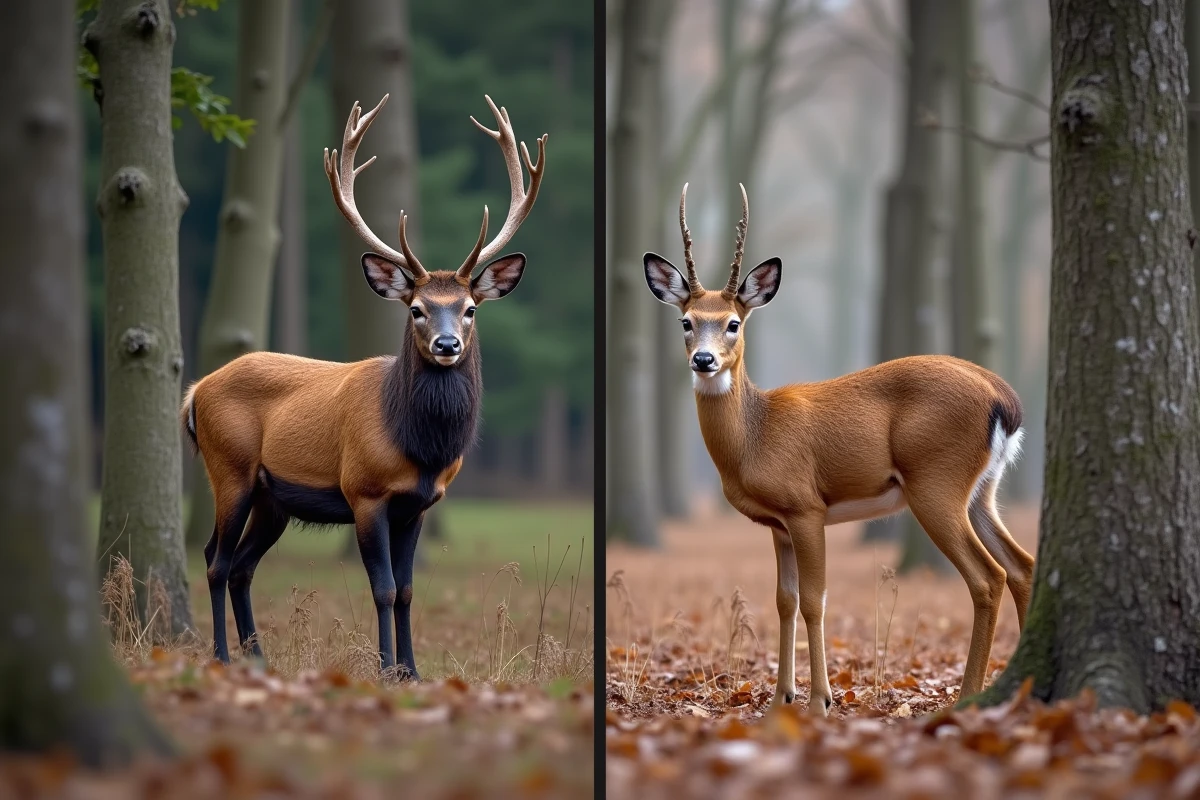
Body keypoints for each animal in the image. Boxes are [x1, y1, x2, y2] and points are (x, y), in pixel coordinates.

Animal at [182, 94, 546, 677]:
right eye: (417, 309)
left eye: (469, 308)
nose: (448, 345)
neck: (418, 447)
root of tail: (195, 393)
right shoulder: (365, 491)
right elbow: (383, 588)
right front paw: (385, 670)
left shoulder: (420, 503)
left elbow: (409, 590)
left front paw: (412, 670)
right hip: (229, 468)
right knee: (215, 561)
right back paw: (220, 655)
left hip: (272, 498)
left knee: (240, 566)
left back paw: (259, 657)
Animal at [643, 183, 1034, 715]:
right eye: (685, 321)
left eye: (732, 324)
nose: (704, 360)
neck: (755, 437)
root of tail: (1003, 397)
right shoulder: (779, 524)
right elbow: (784, 600)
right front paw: (780, 699)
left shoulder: (806, 506)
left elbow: (815, 600)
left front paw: (819, 701)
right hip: (983, 489)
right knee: (1022, 566)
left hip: (937, 481)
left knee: (987, 577)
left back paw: (968, 696)